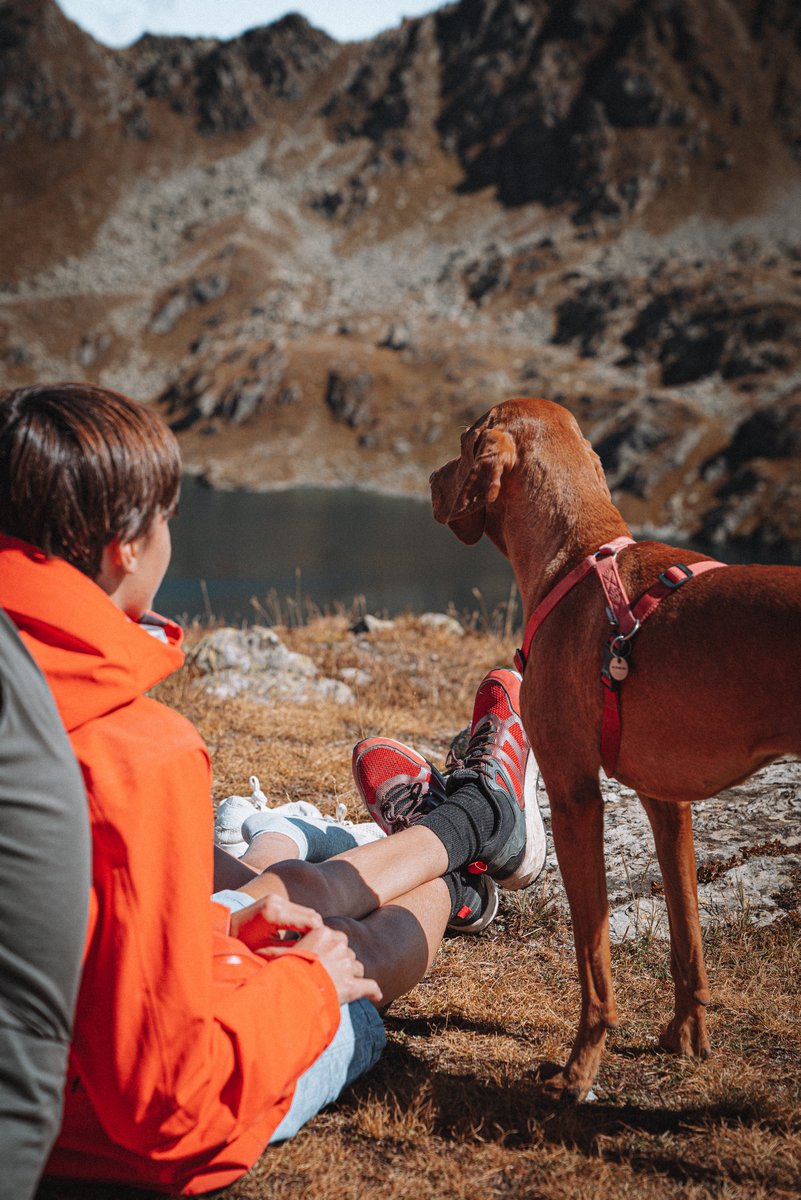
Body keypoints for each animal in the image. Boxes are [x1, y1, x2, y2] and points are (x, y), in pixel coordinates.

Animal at [431, 398, 801, 1099]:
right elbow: (688, 938)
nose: (431, 479)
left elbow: (593, 957)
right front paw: (686, 1036)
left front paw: (579, 1068)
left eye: (463, 441)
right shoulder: (668, 802)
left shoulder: (575, 797)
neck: (578, 555)